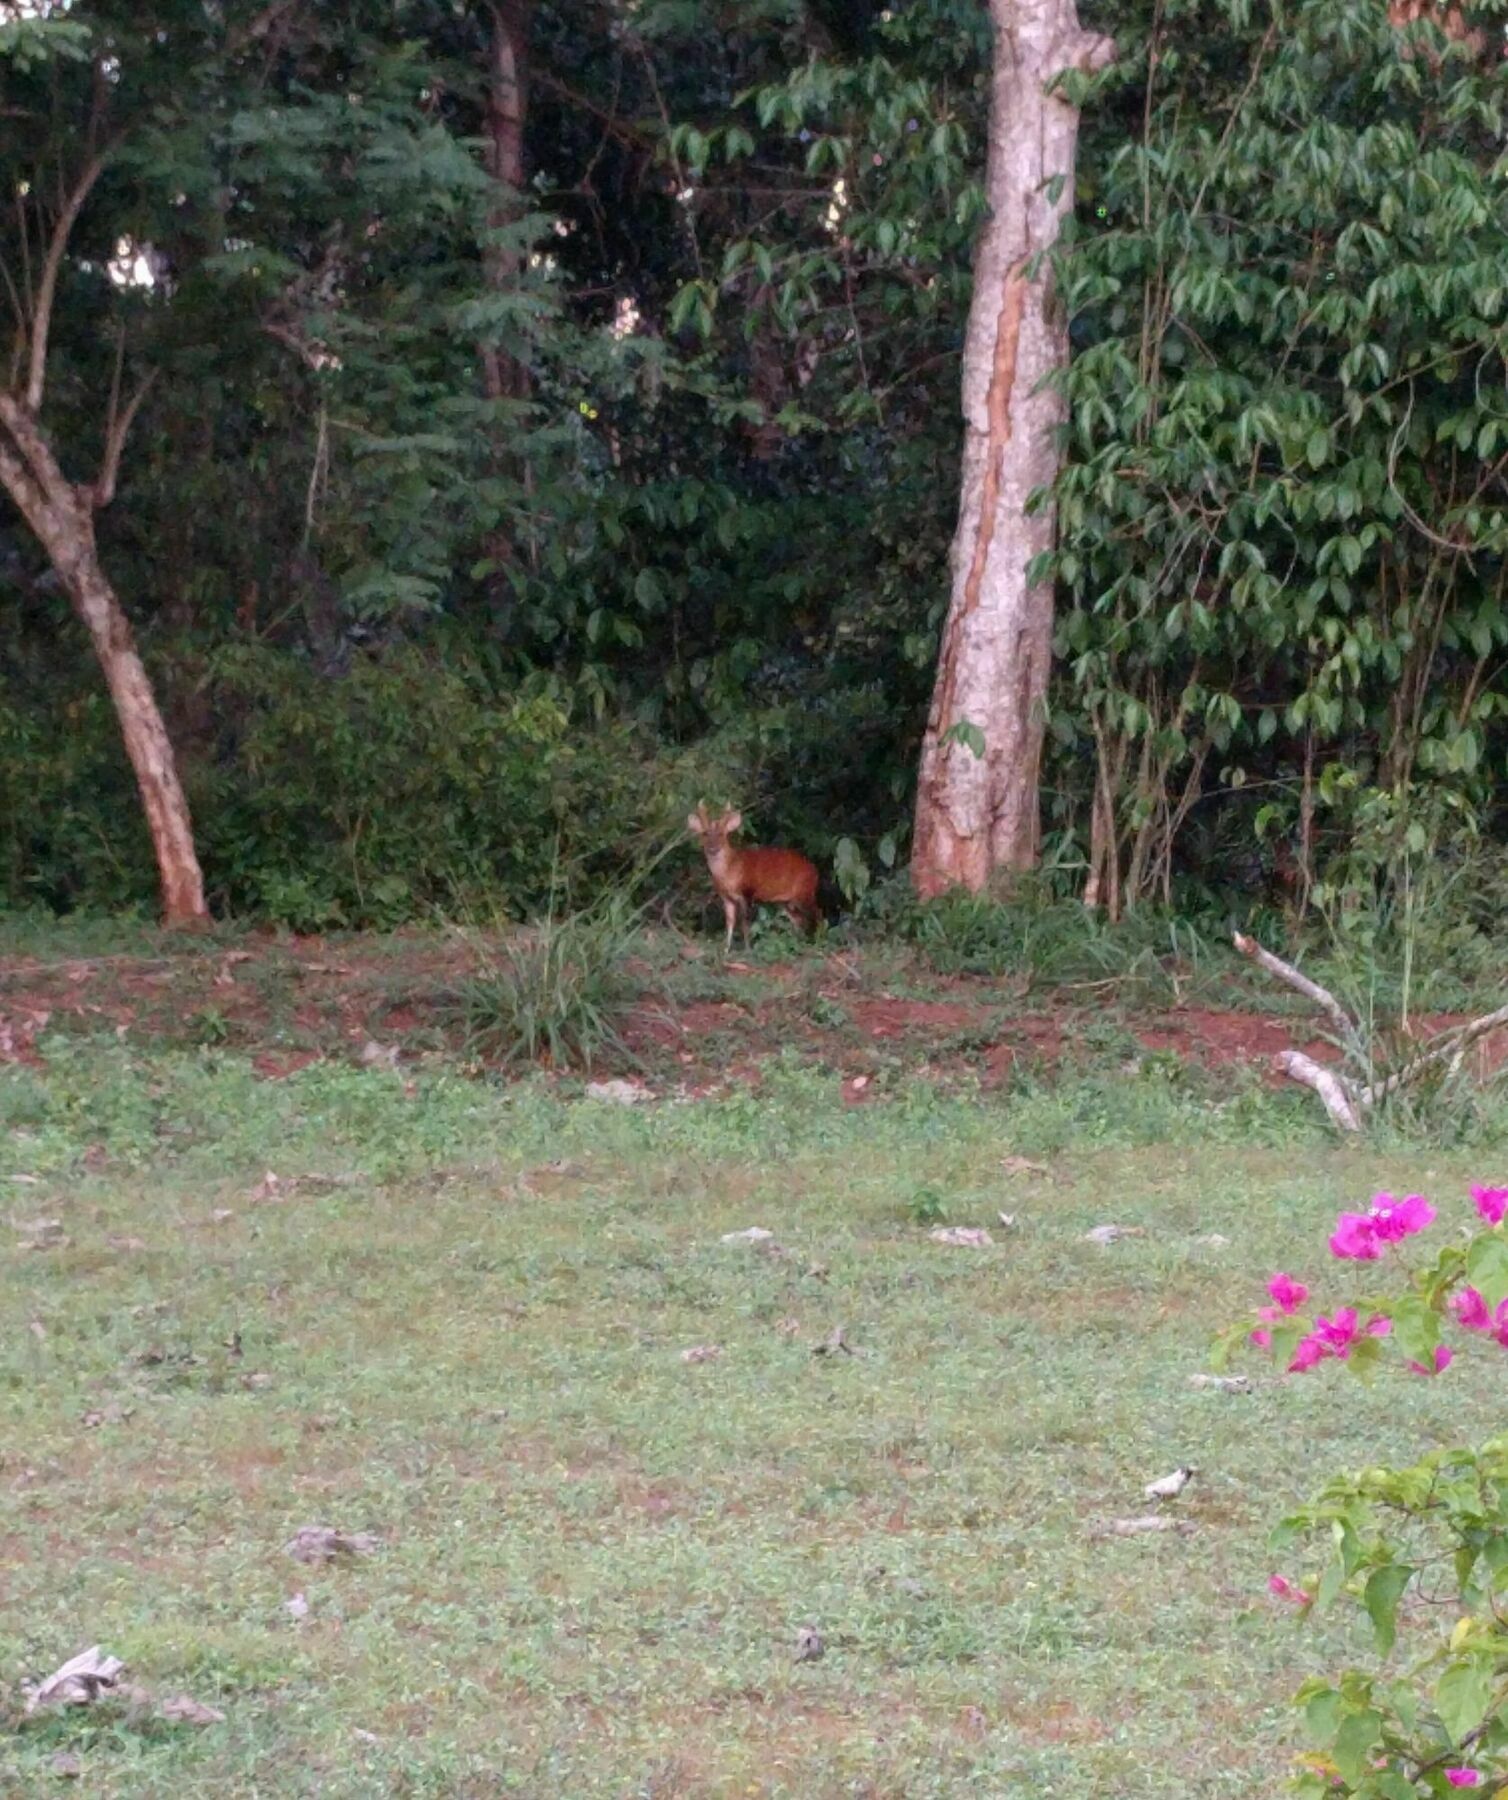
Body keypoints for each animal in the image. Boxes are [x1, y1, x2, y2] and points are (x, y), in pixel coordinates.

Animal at [687, 795, 820, 950]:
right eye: (705, 833)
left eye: (722, 834)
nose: (713, 848)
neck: (730, 872)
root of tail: (815, 871)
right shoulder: (726, 897)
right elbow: (730, 922)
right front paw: (726, 949)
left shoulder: (748, 891)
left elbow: (745, 923)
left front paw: (748, 949)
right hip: (786, 901)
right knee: (798, 920)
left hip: (805, 891)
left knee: (818, 914)